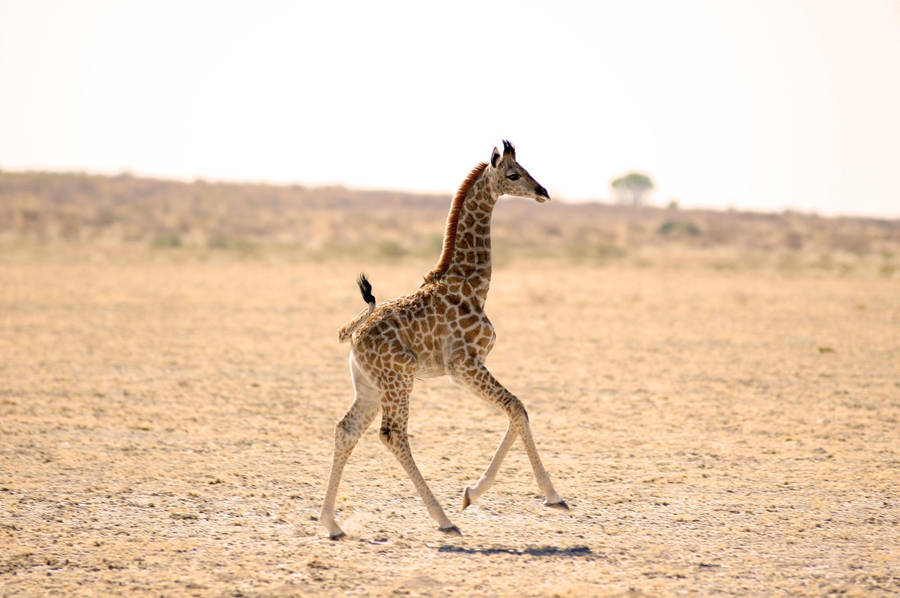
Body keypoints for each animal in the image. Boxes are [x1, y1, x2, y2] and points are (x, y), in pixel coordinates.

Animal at [320, 141, 567, 539]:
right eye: (514, 174)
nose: (543, 191)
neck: (472, 286)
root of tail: (353, 334)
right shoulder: (464, 364)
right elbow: (516, 407)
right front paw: (552, 495)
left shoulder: (465, 369)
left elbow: (516, 410)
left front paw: (471, 493)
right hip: (399, 378)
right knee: (392, 435)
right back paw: (443, 519)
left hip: (370, 385)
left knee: (346, 430)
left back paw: (331, 523)